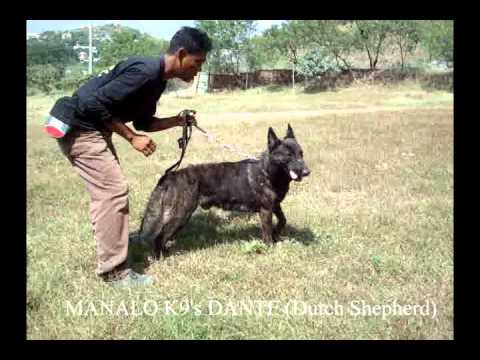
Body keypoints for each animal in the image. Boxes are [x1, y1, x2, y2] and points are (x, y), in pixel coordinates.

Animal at [139, 124, 312, 258]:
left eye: (301, 153)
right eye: (288, 155)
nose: (307, 172)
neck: (267, 172)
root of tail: (171, 175)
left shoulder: (275, 206)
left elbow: (283, 220)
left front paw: (277, 234)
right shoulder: (266, 210)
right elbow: (267, 232)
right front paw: (269, 247)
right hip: (181, 215)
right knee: (160, 237)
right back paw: (160, 257)